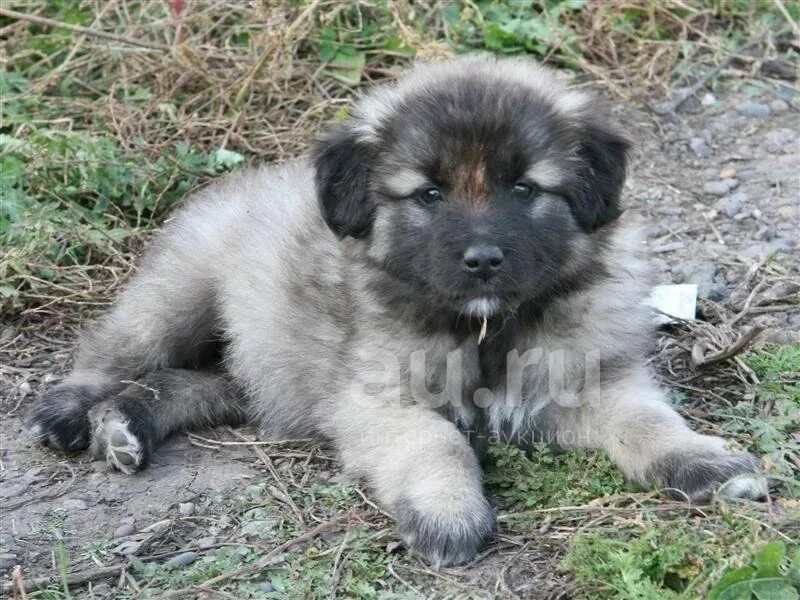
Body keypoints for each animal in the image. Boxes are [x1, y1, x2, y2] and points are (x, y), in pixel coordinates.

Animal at [28, 56, 764, 568]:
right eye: (429, 193)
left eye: (525, 189)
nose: (482, 260)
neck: (483, 327)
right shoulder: (376, 397)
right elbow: (437, 440)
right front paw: (449, 513)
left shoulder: (591, 378)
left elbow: (648, 422)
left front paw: (703, 462)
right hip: (178, 297)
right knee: (111, 352)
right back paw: (70, 413)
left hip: (261, 368)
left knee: (188, 385)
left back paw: (125, 423)